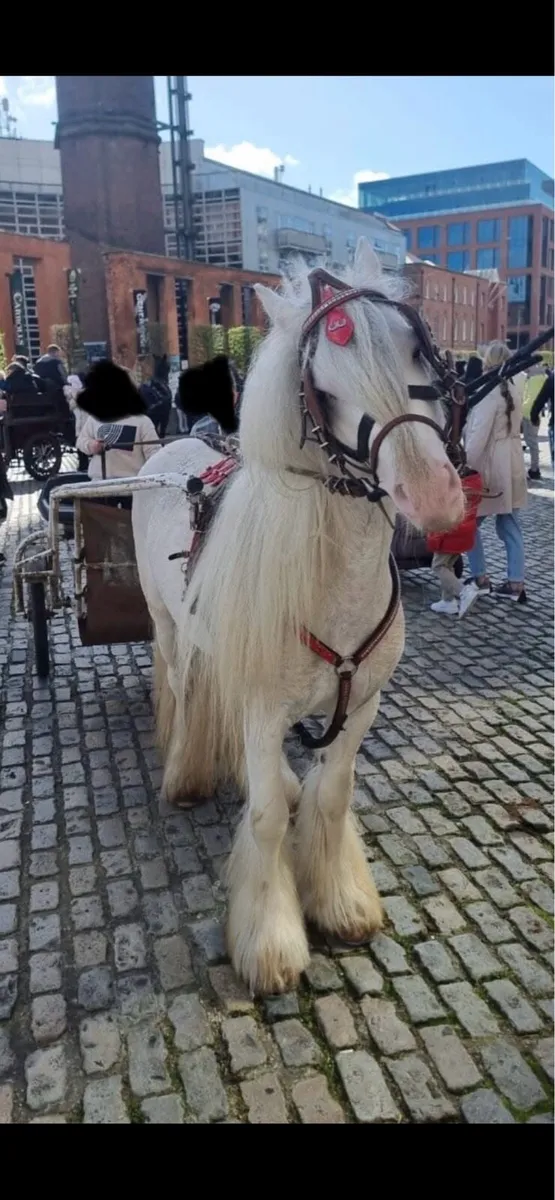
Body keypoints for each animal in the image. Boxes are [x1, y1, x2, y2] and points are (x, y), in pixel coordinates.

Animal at [131, 237, 464, 996]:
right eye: (324, 388)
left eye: (416, 349)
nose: (431, 495)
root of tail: (174, 447)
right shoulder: (262, 708)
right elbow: (262, 819)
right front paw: (271, 939)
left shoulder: (362, 703)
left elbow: (332, 795)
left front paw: (340, 902)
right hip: (169, 627)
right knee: (182, 685)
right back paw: (185, 771)